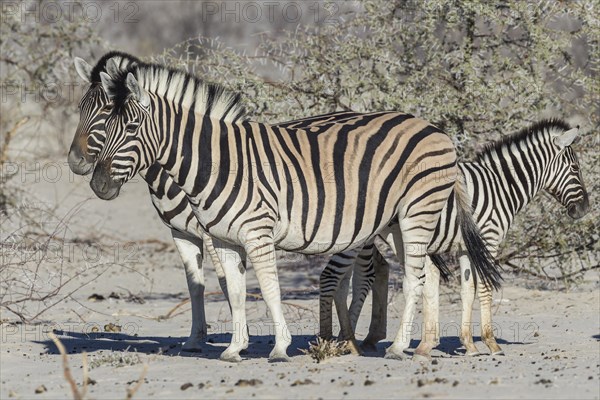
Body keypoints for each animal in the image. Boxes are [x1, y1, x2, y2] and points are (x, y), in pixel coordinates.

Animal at [89, 61, 500, 360]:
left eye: (131, 126)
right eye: (103, 127)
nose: (98, 185)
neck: (217, 162)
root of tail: (436, 129)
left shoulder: (257, 232)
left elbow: (269, 288)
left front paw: (279, 347)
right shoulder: (224, 240)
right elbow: (235, 291)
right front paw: (234, 349)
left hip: (417, 211)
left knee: (414, 277)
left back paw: (399, 348)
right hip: (398, 222)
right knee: (426, 273)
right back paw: (423, 346)